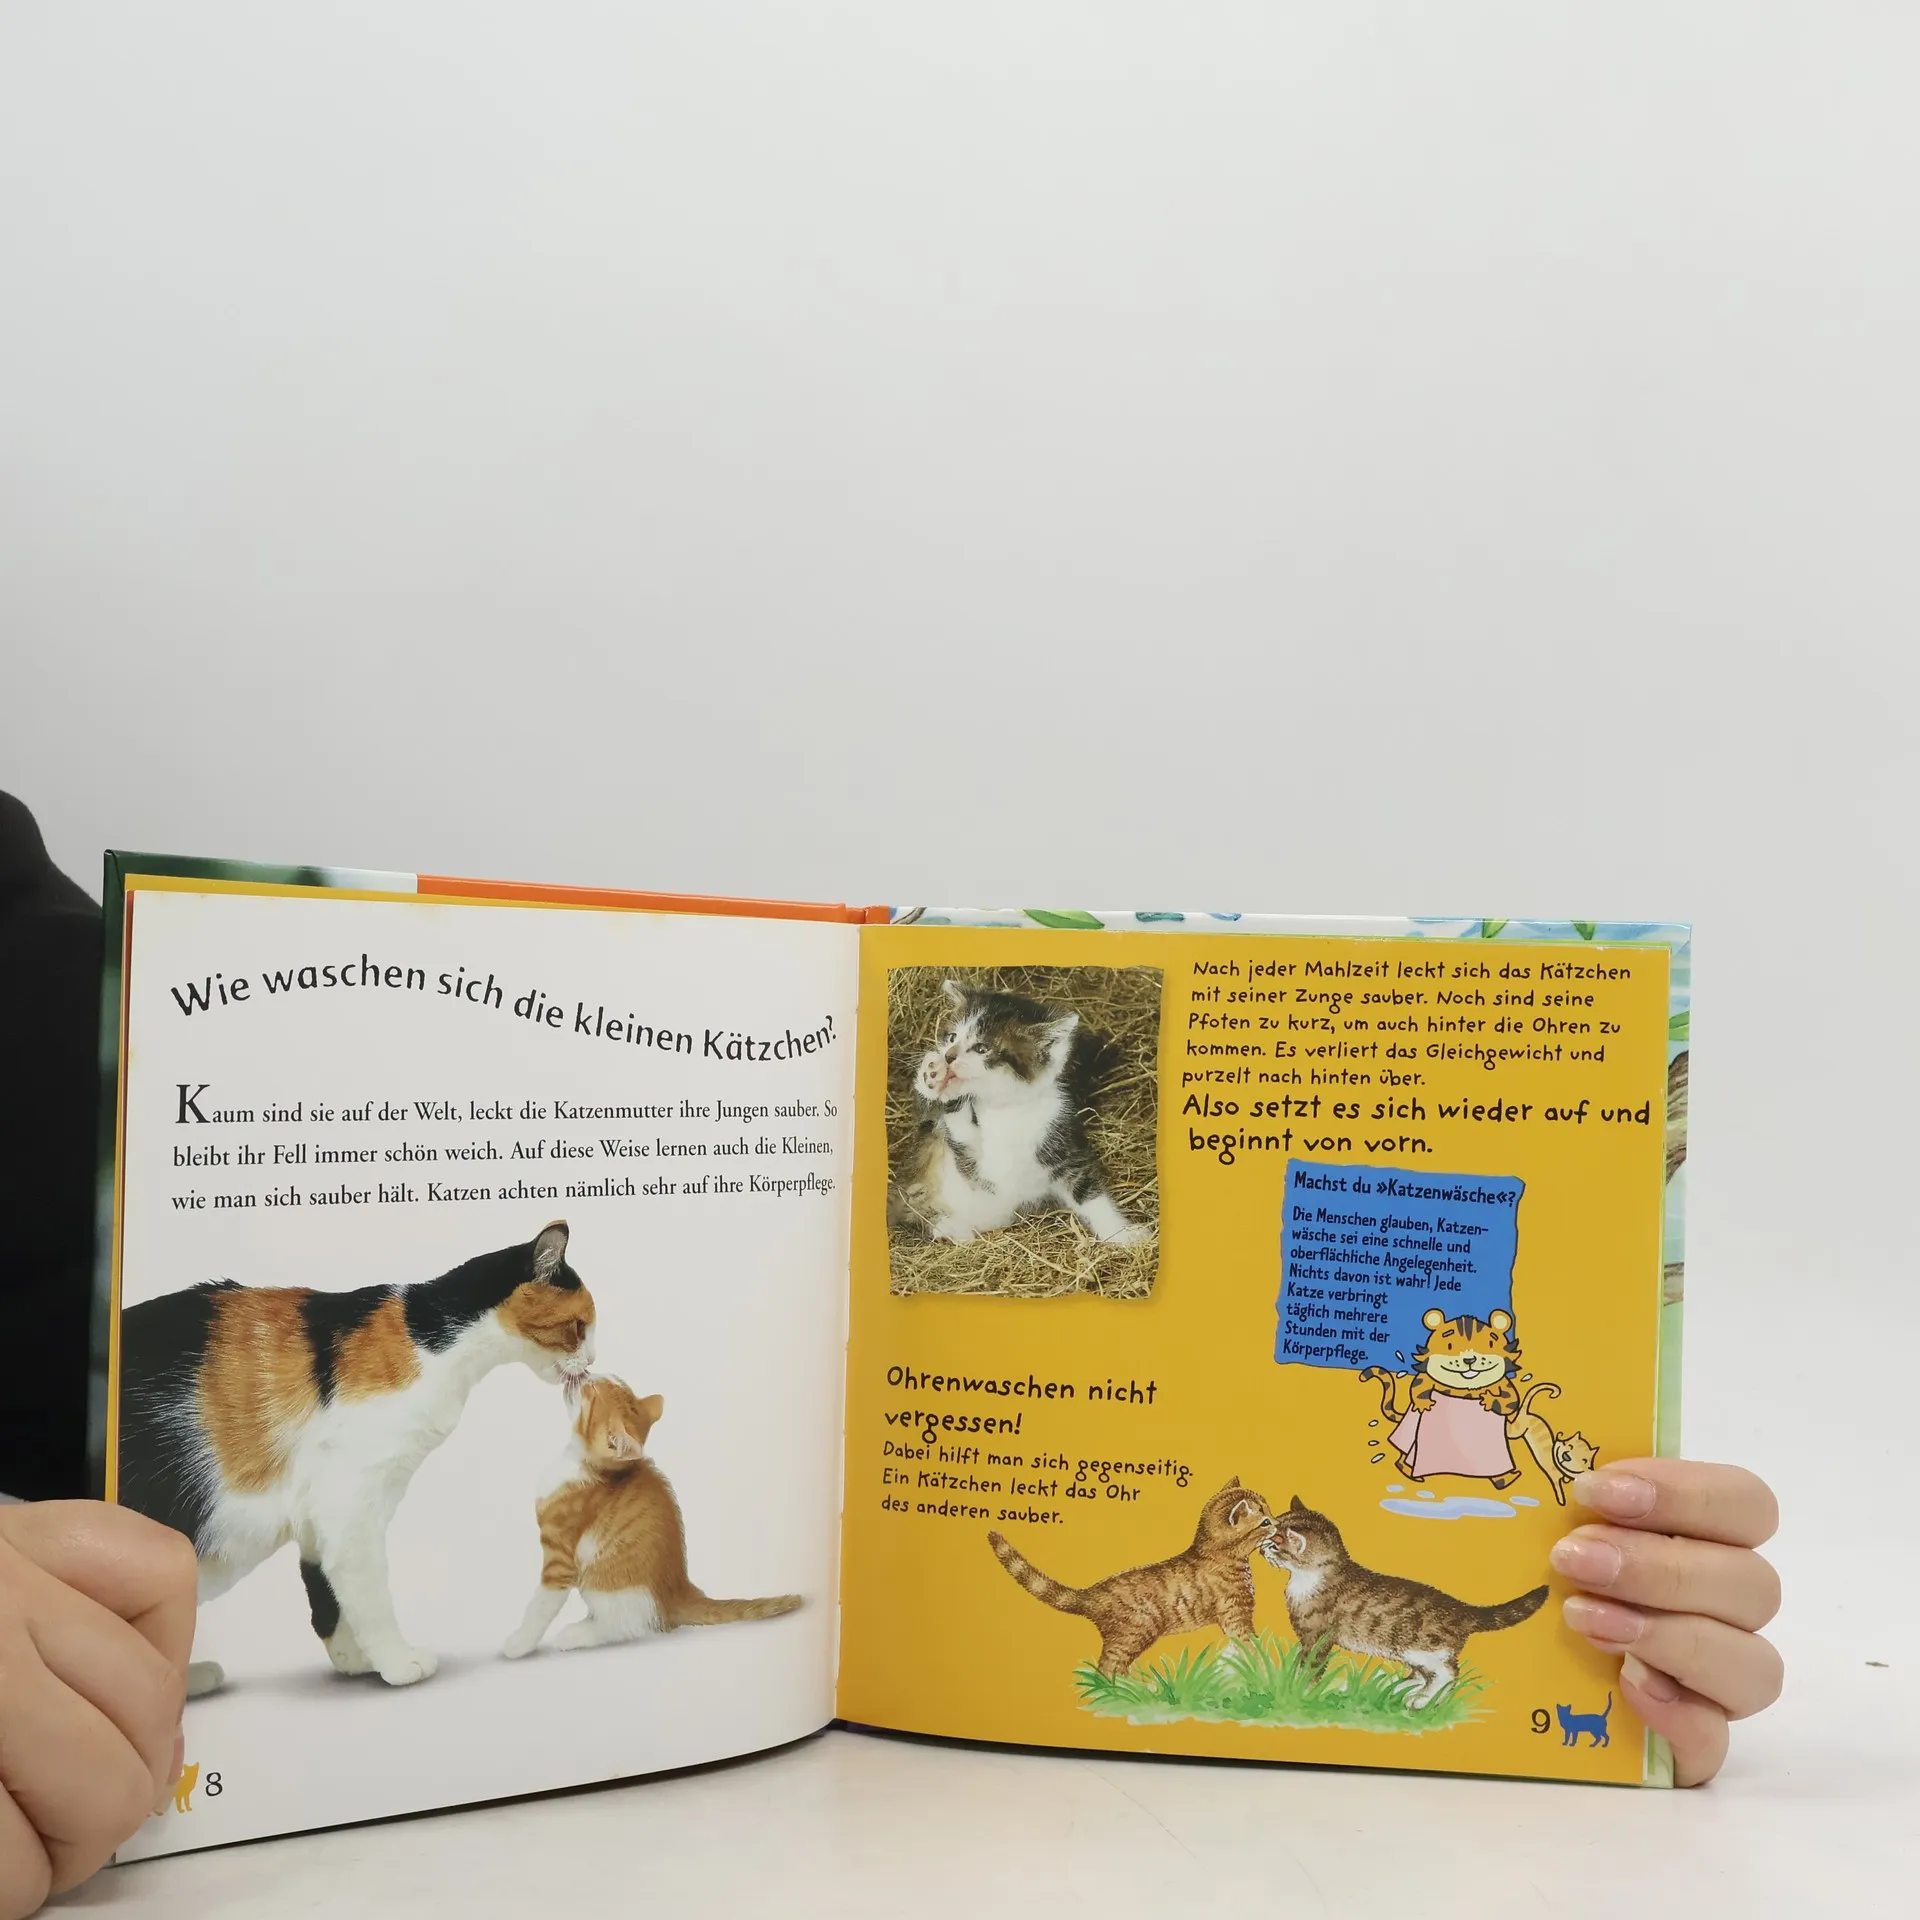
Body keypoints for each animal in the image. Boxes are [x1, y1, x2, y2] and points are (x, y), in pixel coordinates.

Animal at [120, 1219, 596, 1691]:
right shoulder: (350, 1500)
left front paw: (356, 1658)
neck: (431, 1344)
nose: (592, 1359)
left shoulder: (321, 1514)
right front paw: (399, 1662)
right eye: (579, 1326)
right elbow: (369, 1591)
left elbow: (329, 1590)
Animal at [502, 1374, 801, 1656]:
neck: (581, 1465)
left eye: (591, 1393)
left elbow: (541, 1605)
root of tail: (681, 1592)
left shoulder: (560, 1558)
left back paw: (575, 1634)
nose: (584, 1375)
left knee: (628, 1626)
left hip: (608, 1588)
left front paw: (519, 1644)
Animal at [887, 980, 1148, 1246]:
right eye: (952, 1037)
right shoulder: (977, 1169)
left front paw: (1123, 1234)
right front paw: (936, 1078)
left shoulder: (1060, 1141)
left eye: (981, 1048)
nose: (949, 1056)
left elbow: (1089, 1192)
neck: (1004, 1109)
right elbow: (963, 1138)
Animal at [987, 1477, 1275, 1677]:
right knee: (1107, 1669)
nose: (1277, 1522)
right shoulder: (1235, 1615)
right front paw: (1264, 1672)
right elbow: (1252, 1647)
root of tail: (1093, 1594)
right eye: (1264, 1522)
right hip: (1134, 1632)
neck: (1217, 1554)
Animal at [1260, 1495, 1548, 1708]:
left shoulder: (1317, 1636)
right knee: (1422, 1674)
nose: (1261, 1547)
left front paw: (1299, 1692)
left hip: (1422, 1647)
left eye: (1274, 1542)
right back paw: (1399, 1686)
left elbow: (1309, 1668)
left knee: (1447, 1673)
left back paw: (1421, 1700)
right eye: (1269, 1529)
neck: (1308, 1580)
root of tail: (1461, 1609)